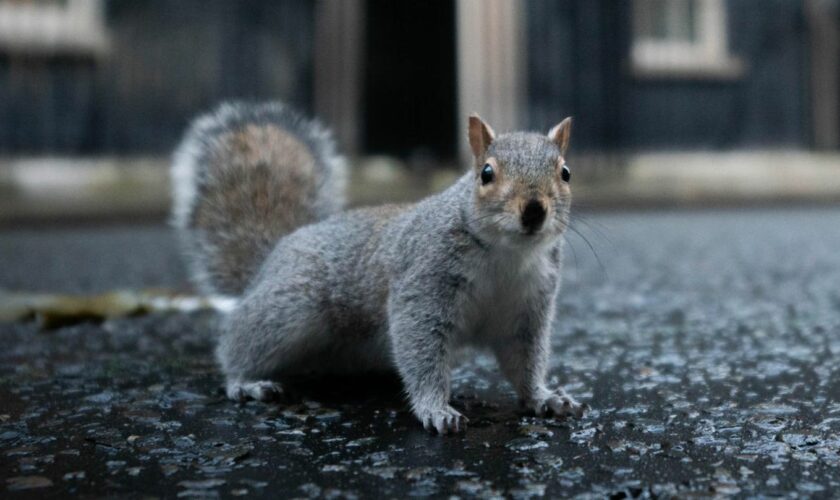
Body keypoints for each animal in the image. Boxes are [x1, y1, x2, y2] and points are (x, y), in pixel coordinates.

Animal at [171, 100, 588, 434]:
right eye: (486, 173)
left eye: (565, 172)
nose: (534, 210)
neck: (507, 255)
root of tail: (270, 258)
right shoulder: (423, 283)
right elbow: (421, 348)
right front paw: (436, 409)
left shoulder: (527, 308)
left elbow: (525, 359)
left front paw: (544, 397)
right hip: (290, 308)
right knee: (239, 345)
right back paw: (246, 382)